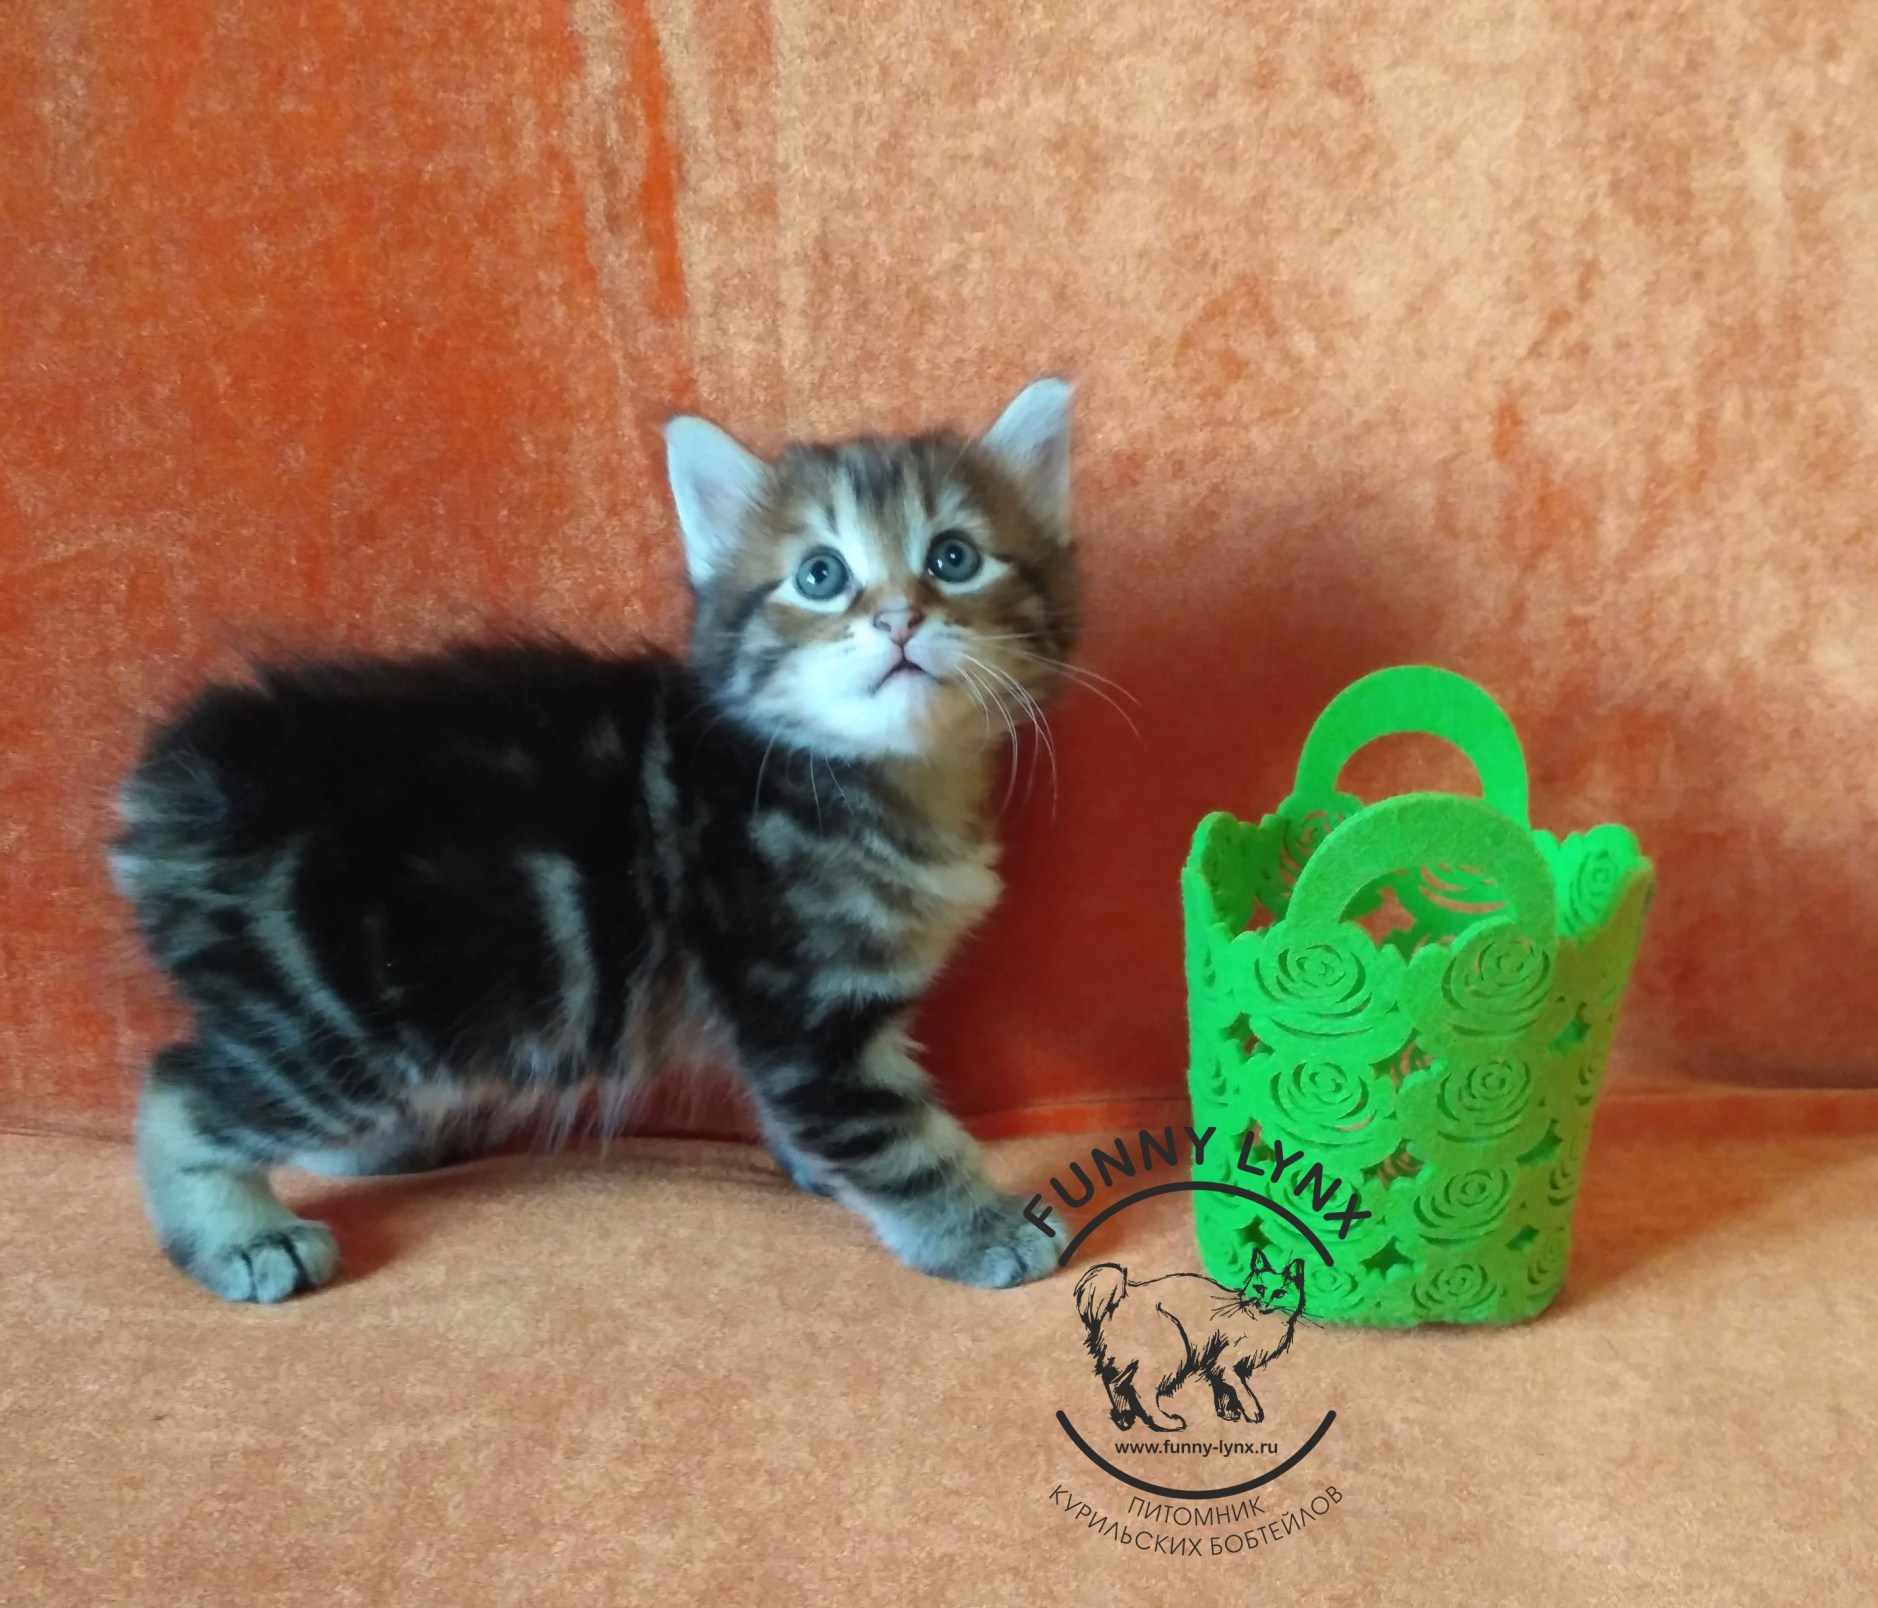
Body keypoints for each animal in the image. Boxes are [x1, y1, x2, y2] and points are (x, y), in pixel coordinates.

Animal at [110, 379, 1079, 1303]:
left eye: (953, 558)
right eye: (820, 574)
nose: (897, 621)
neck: (877, 778)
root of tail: (181, 778)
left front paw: (822, 1172)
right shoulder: (802, 1008)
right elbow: (900, 1138)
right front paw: (980, 1229)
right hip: (337, 1024)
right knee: (181, 1088)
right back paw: (244, 1236)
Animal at [1073, 1251, 1307, 1432]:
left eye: (1280, 1293)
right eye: (1260, 1288)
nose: (1261, 1302)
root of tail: (1125, 1291)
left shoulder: (1216, 1363)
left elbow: (1222, 1391)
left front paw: (1227, 1413)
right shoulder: (1227, 1363)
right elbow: (1242, 1391)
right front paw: (1252, 1412)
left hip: (1128, 1360)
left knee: (1113, 1383)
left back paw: (1124, 1420)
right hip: (1175, 1349)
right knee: (1139, 1389)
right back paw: (1166, 1423)